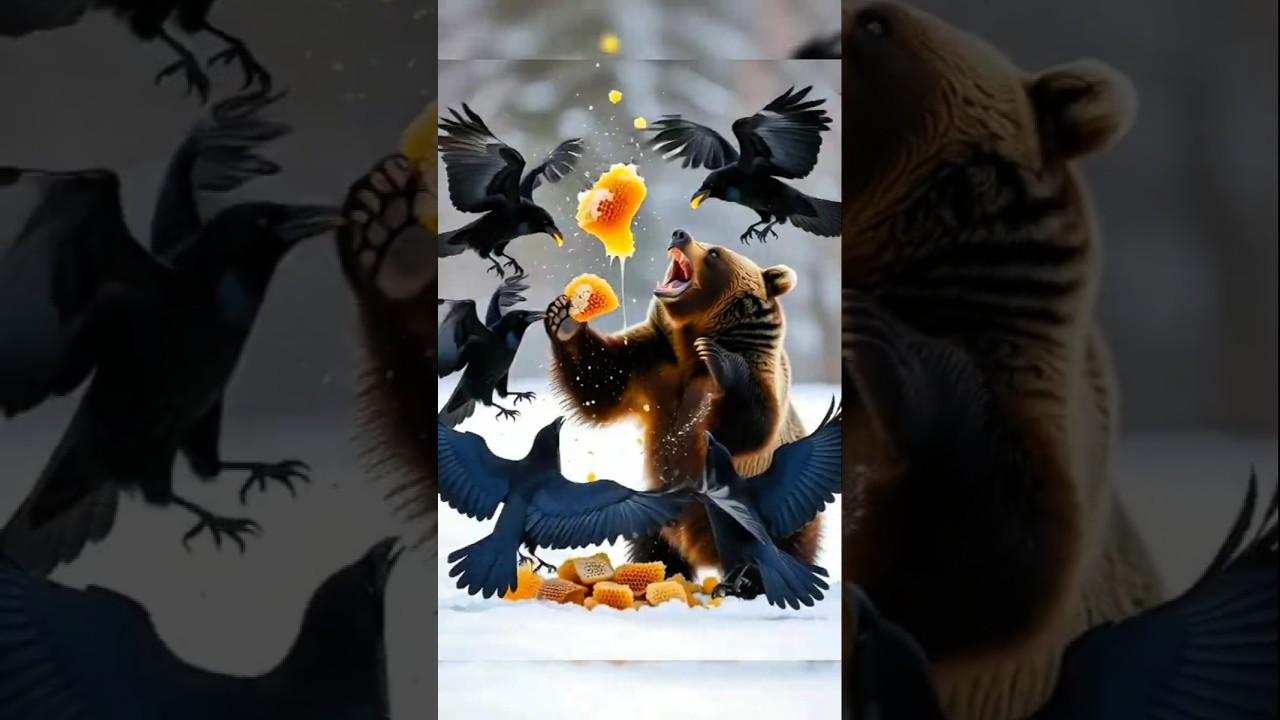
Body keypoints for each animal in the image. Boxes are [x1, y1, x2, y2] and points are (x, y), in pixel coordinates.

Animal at [543, 228, 821, 587]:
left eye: (715, 253)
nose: (680, 234)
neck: (692, 340)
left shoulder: (760, 370)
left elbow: (747, 427)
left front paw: (723, 362)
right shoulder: (654, 362)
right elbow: (602, 383)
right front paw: (564, 319)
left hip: (776, 511)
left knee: (776, 547)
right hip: (660, 515)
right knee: (652, 542)